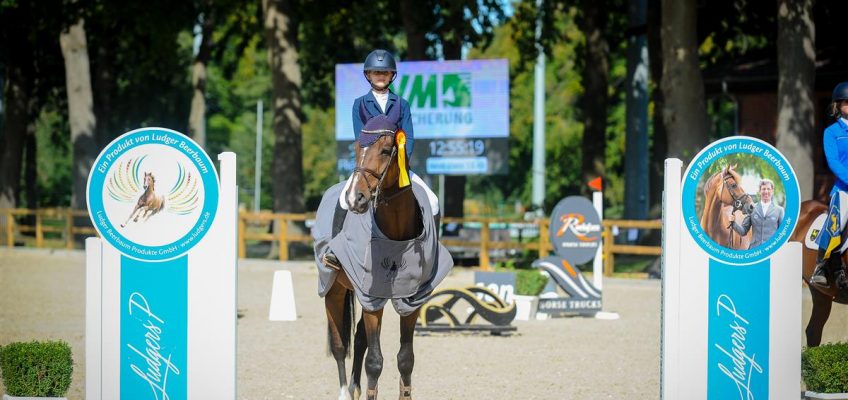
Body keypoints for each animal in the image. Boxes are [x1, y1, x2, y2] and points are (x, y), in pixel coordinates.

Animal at [324, 123, 428, 398]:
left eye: (384, 150)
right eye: (356, 147)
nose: (355, 198)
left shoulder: (412, 302)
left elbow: (406, 359)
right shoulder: (372, 300)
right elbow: (374, 361)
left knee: (359, 338)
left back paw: (355, 389)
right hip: (333, 289)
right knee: (340, 345)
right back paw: (344, 392)